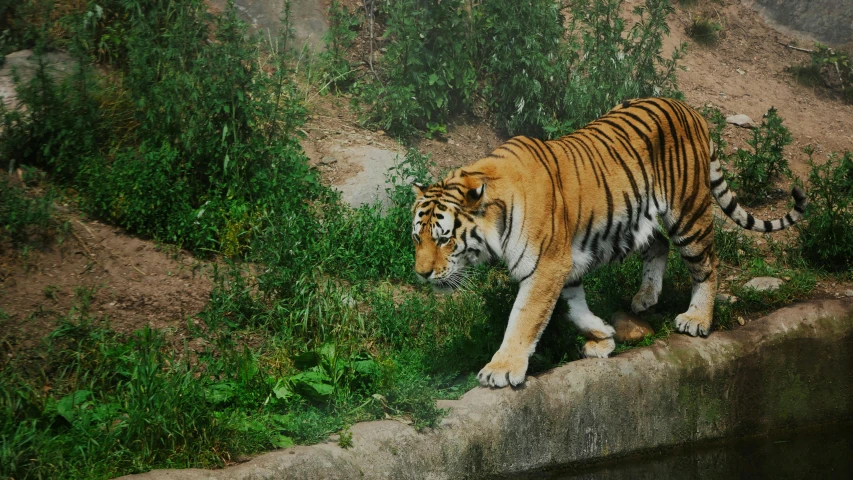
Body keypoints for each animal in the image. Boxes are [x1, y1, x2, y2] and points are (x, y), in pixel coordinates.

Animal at [412, 95, 804, 388]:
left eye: (445, 239)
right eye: (417, 238)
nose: (421, 274)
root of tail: (689, 109)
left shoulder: (546, 266)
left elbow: (524, 318)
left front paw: (501, 369)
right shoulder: (564, 265)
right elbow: (574, 308)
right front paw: (603, 336)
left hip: (689, 214)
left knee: (707, 264)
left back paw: (697, 319)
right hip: (637, 219)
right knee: (659, 244)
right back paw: (646, 297)